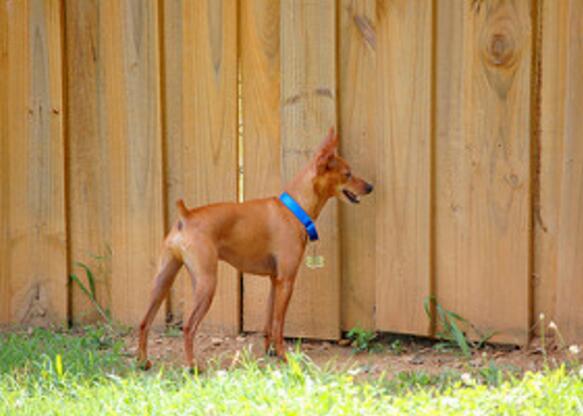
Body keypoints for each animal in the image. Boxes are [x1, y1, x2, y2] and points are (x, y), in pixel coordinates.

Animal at [138, 127, 373, 369]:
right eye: (348, 174)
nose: (370, 187)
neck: (294, 209)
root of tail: (186, 216)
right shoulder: (286, 281)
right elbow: (279, 324)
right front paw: (284, 356)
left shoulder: (274, 281)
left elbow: (268, 323)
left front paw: (270, 351)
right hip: (206, 283)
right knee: (188, 326)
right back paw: (193, 365)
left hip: (162, 281)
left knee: (144, 322)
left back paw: (143, 361)